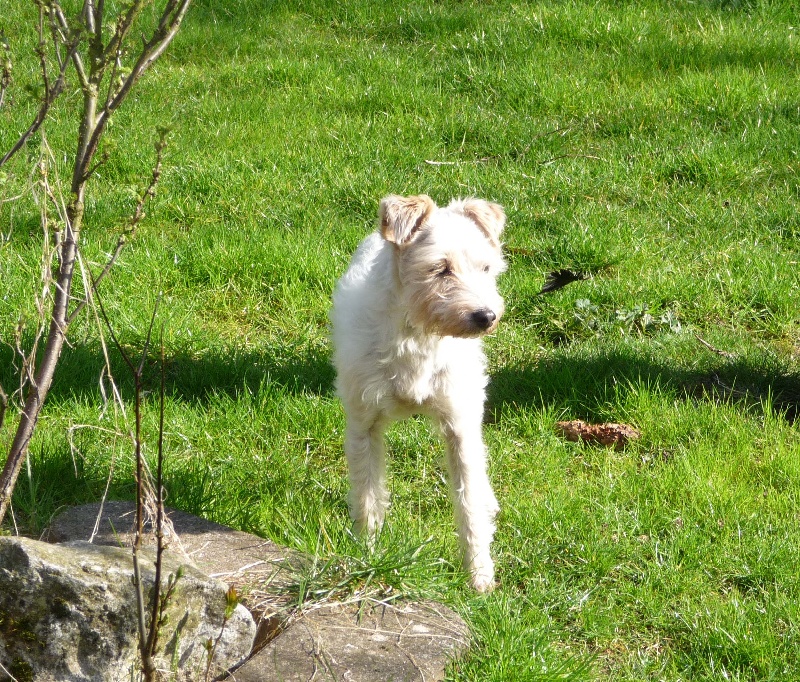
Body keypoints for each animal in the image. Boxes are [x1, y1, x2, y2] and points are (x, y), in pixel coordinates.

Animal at [332, 193, 506, 588]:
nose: (486, 316)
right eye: (440, 268)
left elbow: (469, 502)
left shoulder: (459, 425)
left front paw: (479, 573)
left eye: (486, 268)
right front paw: (367, 554)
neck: (419, 333)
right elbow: (368, 494)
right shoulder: (363, 424)